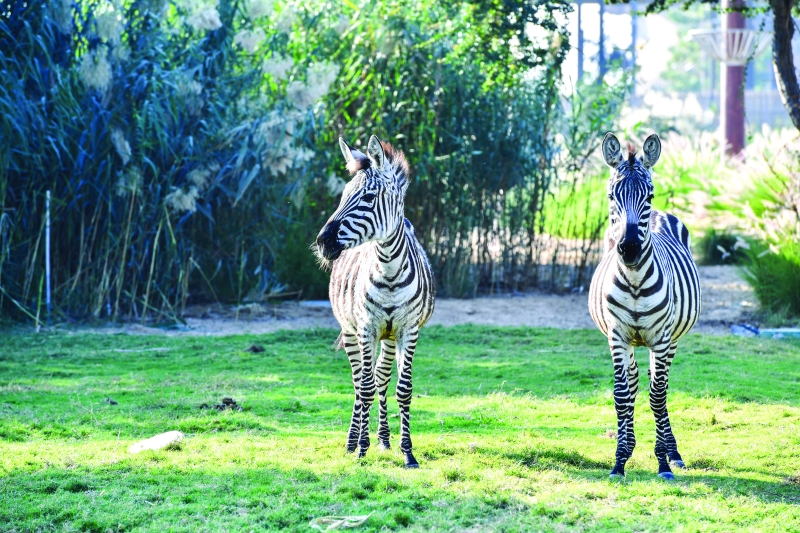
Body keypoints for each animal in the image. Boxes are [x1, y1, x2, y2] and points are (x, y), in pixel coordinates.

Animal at [316, 135, 434, 468]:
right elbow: (365, 387)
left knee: (381, 377)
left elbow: (403, 389)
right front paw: (361, 450)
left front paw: (407, 452)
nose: (322, 242)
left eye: (368, 198)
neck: (390, 270)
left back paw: (384, 438)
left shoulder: (408, 330)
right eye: (343, 196)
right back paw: (352, 441)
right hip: (352, 332)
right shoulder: (366, 327)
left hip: (390, 336)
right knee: (359, 381)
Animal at [588, 132, 700, 478]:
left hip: (670, 339)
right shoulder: (617, 336)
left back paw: (673, 451)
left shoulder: (661, 338)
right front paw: (619, 460)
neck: (635, 279)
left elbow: (658, 396)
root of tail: (664, 214)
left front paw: (663, 460)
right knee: (636, 381)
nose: (629, 249)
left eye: (648, 194)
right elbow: (622, 395)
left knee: (657, 385)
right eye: (612, 195)